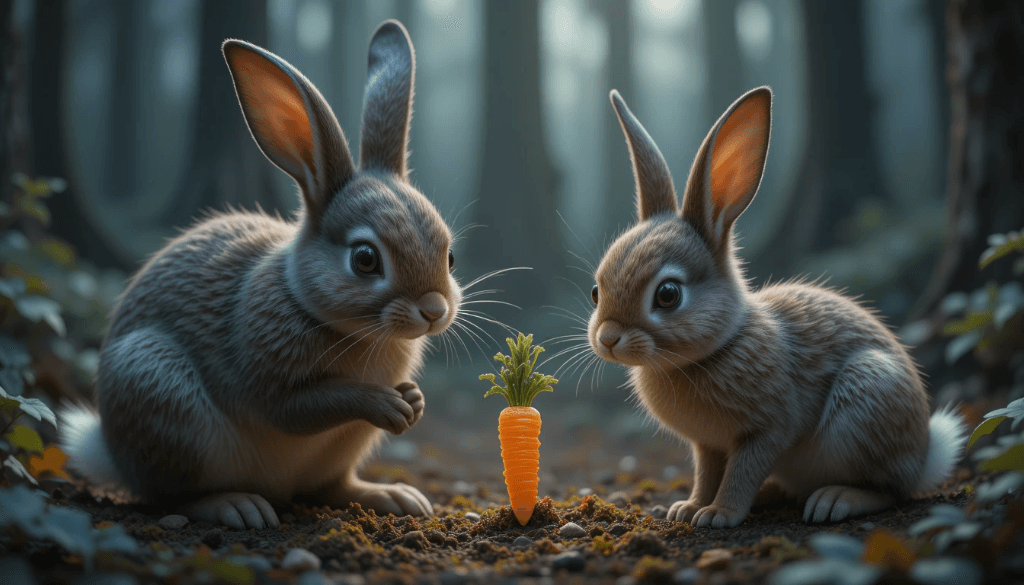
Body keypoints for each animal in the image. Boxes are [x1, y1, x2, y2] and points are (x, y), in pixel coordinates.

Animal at [58, 20, 461, 529]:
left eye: (450, 257)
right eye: (366, 259)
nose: (434, 310)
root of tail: (112, 454)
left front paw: (413, 400)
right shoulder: (266, 378)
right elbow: (303, 407)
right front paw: (388, 403)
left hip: (341, 450)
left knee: (330, 487)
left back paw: (394, 497)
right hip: (160, 392)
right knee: (172, 496)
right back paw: (237, 506)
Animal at [587, 86, 967, 528]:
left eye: (667, 295)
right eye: (595, 291)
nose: (608, 338)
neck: (717, 348)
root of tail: (925, 456)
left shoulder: (769, 428)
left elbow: (743, 471)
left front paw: (719, 514)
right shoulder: (707, 444)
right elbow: (706, 473)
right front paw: (689, 508)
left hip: (867, 400)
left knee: (890, 489)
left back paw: (835, 500)